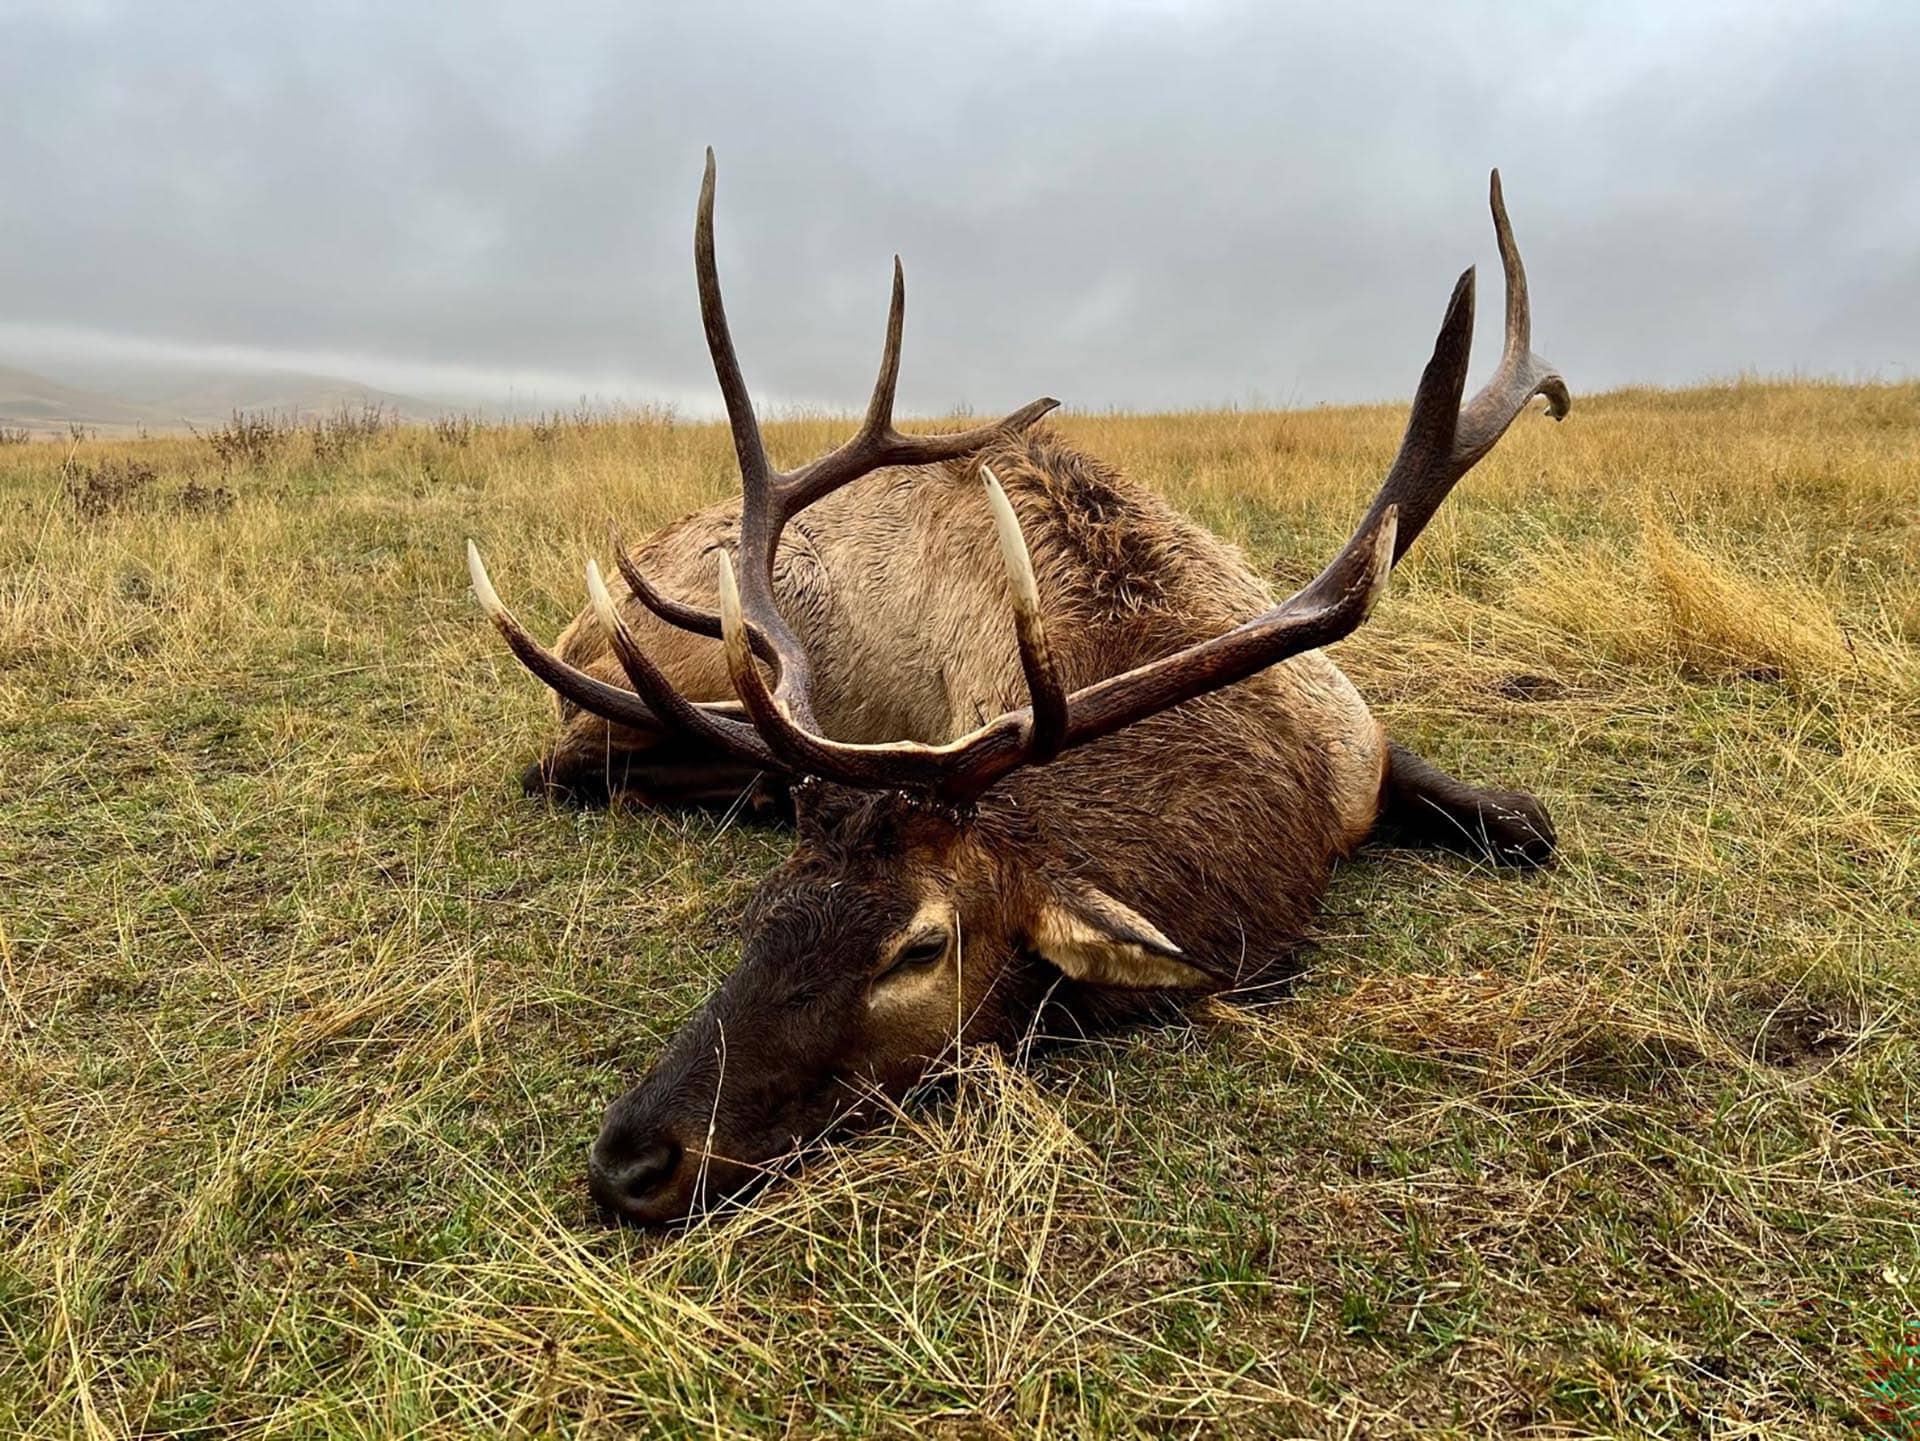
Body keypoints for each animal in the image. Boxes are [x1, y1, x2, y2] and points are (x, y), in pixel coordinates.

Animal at [468, 152, 1569, 1225]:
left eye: (920, 947)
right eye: (761, 911)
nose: (628, 1159)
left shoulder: (1360, 738)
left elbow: (1527, 819)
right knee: (561, 763)